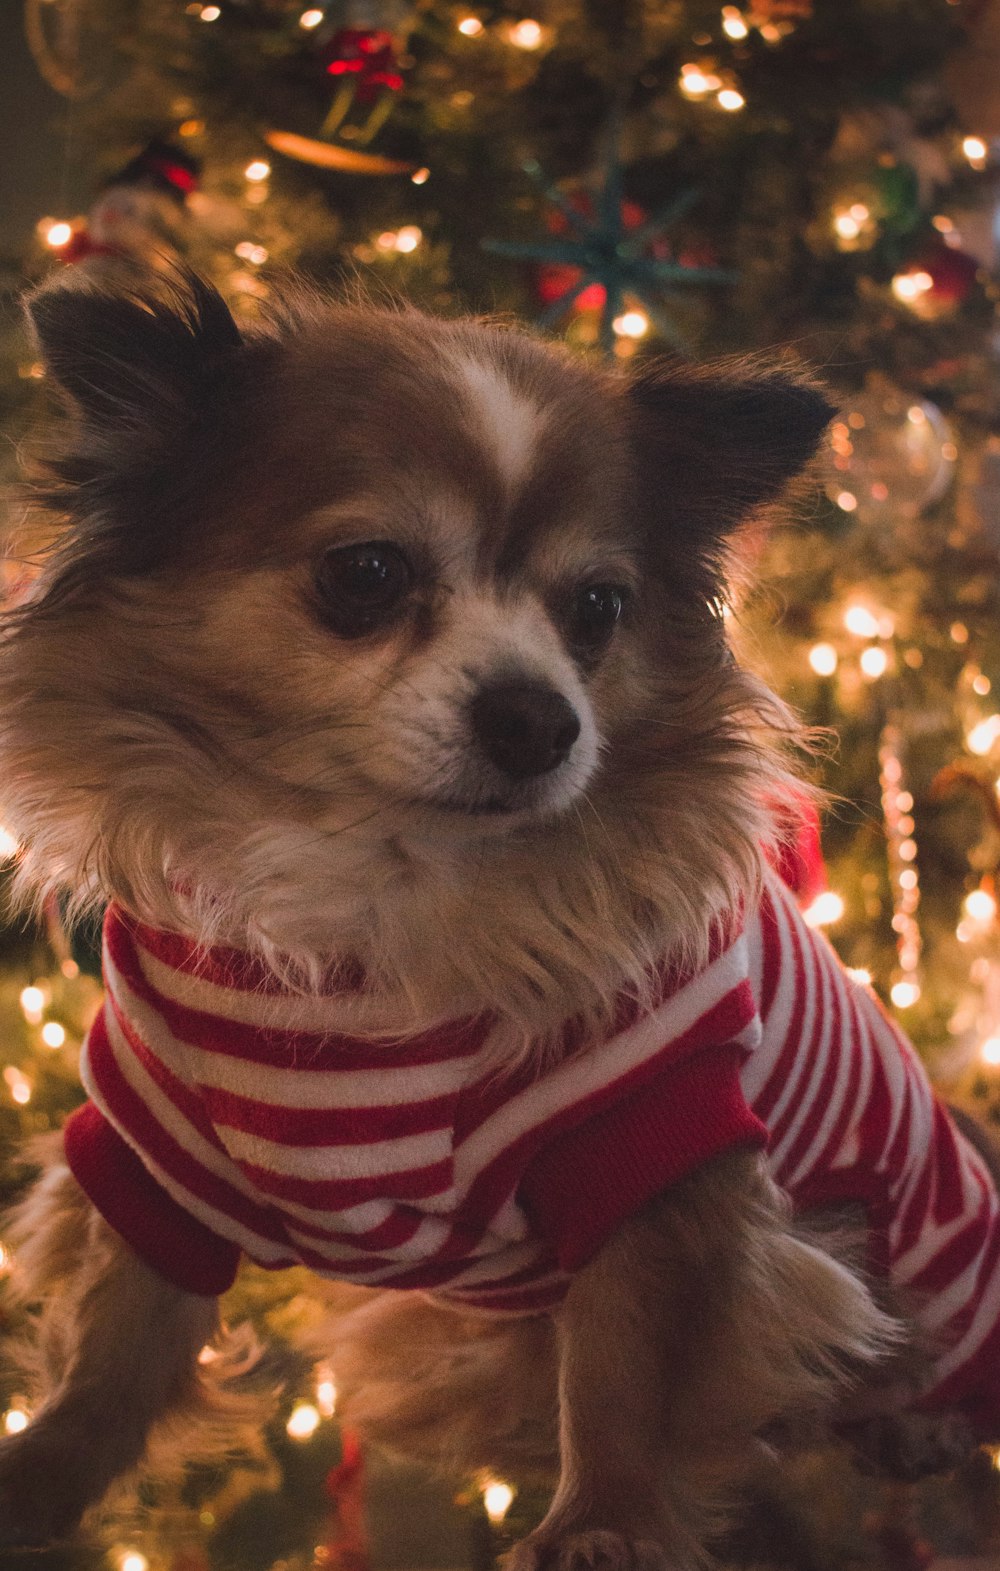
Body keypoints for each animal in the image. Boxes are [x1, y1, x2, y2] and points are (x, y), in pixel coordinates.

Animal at [0, 270, 992, 1558]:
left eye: (599, 606)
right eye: (365, 573)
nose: (540, 720)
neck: (382, 891)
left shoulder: (654, 1139)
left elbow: (624, 1363)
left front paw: (602, 1523)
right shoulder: (162, 1149)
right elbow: (113, 1347)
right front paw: (37, 1481)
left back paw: (914, 1421)